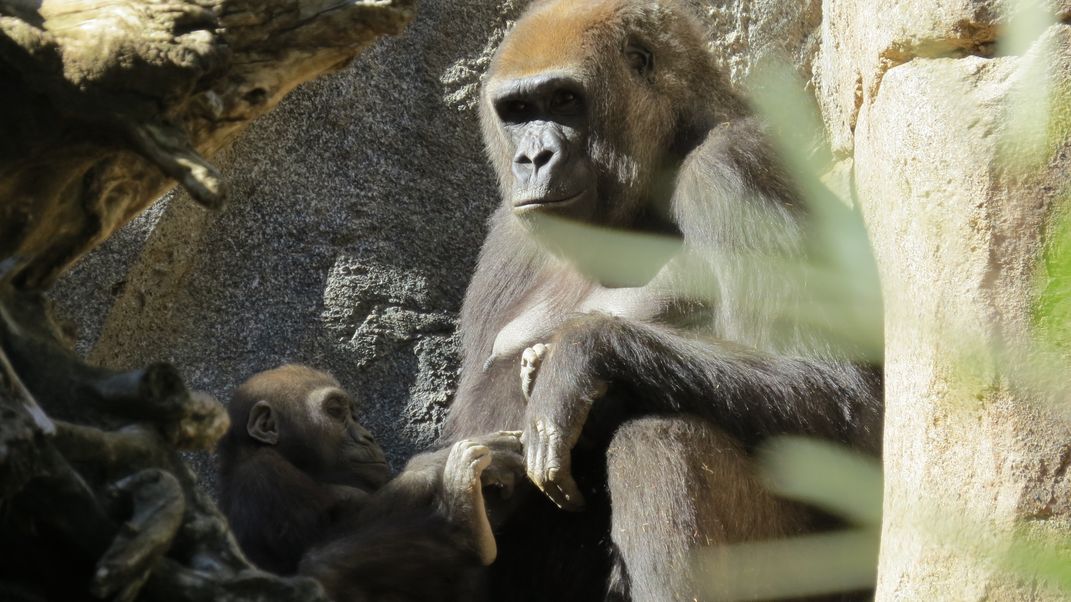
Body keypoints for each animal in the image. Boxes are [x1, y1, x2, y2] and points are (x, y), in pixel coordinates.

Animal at [217, 364, 522, 595]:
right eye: (335, 411)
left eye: (354, 415)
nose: (367, 436)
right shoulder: (263, 475)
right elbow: (310, 540)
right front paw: (435, 462)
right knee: (321, 566)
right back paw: (464, 522)